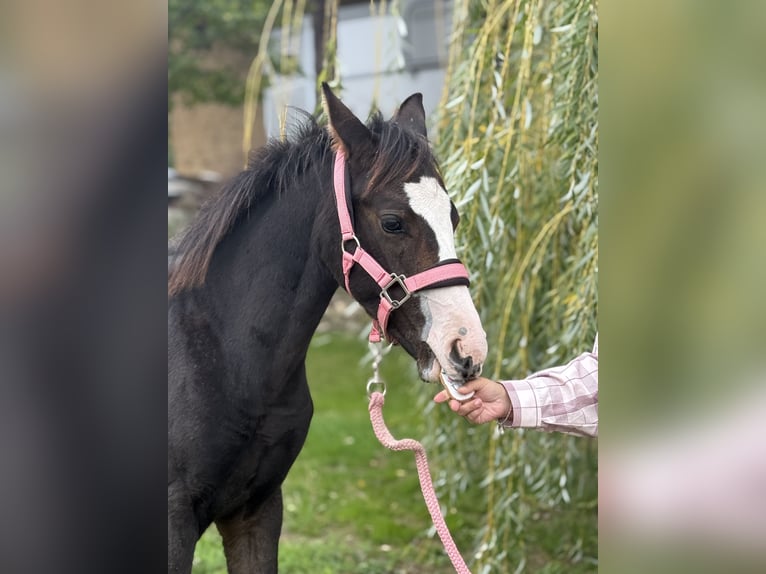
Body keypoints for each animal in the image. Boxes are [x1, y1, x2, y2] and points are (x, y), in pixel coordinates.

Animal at [168, 84, 488, 573]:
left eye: (453, 217)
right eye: (393, 222)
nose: (466, 348)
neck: (221, 356)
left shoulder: (257, 509)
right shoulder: (174, 523)